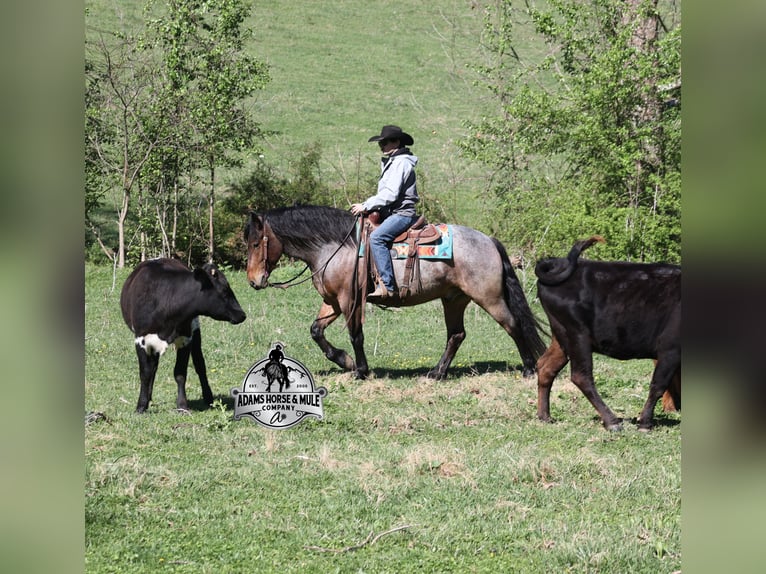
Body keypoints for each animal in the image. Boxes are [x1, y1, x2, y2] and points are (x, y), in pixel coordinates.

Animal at [244, 205, 546, 380]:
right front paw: (345, 361)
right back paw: (436, 373)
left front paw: (360, 370)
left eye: (257, 243)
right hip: (454, 299)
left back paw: (529, 369)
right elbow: (316, 331)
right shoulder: (332, 302)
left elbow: (356, 335)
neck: (335, 247)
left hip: (489, 298)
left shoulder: (349, 300)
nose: (253, 281)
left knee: (512, 324)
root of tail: (489, 241)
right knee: (457, 335)